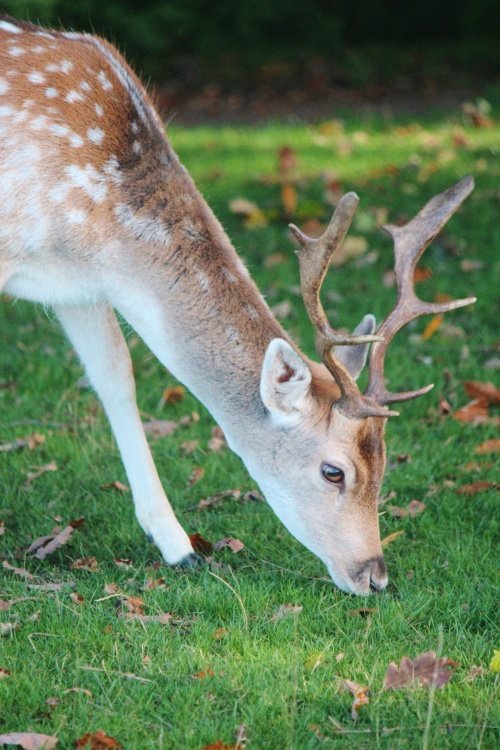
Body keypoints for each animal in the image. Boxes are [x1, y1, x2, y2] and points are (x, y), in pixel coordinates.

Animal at [0, 16, 476, 594]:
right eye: (333, 471)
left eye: (384, 463)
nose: (375, 576)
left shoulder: (79, 286)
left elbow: (116, 377)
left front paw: (179, 548)